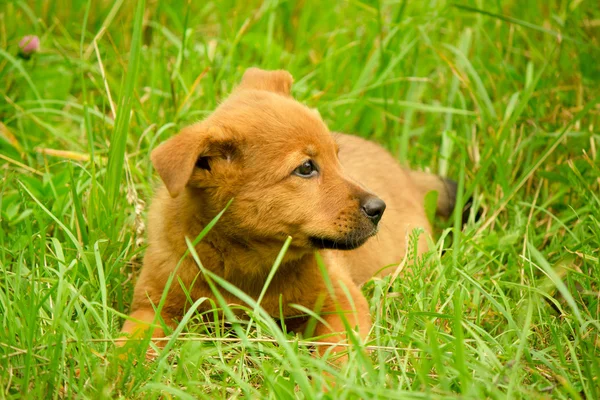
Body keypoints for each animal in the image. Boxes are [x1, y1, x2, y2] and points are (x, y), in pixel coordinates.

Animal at [123, 69, 460, 356]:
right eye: (306, 168)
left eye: (337, 157)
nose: (379, 208)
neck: (249, 264)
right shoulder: (151, 306)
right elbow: (128, 344)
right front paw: (118, 373)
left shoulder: (344, 302)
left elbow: (340, 354)